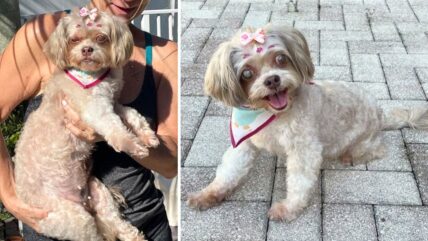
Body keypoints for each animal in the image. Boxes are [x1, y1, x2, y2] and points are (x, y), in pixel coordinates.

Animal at [13, 8, 157, 240]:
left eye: (101, 37)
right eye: (74, 39)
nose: (87, 49)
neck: (92, 75)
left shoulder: (111, 103)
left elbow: (132, 114)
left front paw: (146, 135)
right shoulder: (95, 110)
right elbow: (115, 129)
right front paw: (134, 145)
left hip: (99, 194)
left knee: (119, 225)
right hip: (76, 219)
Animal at [187, 25, 428, 222]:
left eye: (280, 59)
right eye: (247, 72)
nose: (272, 80)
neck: (271, 115)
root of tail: (380, 113)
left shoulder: (303, 148)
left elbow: (299, 181)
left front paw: (289, 208)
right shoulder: (243, 141)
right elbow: (229, 170)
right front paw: (208, 194)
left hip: (363, 140)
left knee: (377, 149)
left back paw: (350, 156)